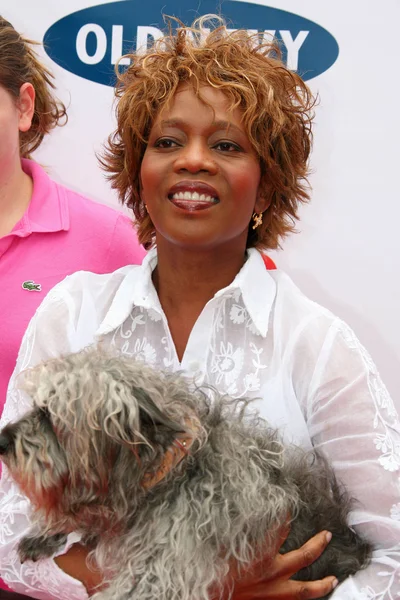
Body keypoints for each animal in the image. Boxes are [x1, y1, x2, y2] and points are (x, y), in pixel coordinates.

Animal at [0, 350, 372, 596]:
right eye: (36, 407)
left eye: (49, 414)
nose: (1, 440)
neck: (166, 477)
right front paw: (47, 531)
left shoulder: (160, 574)